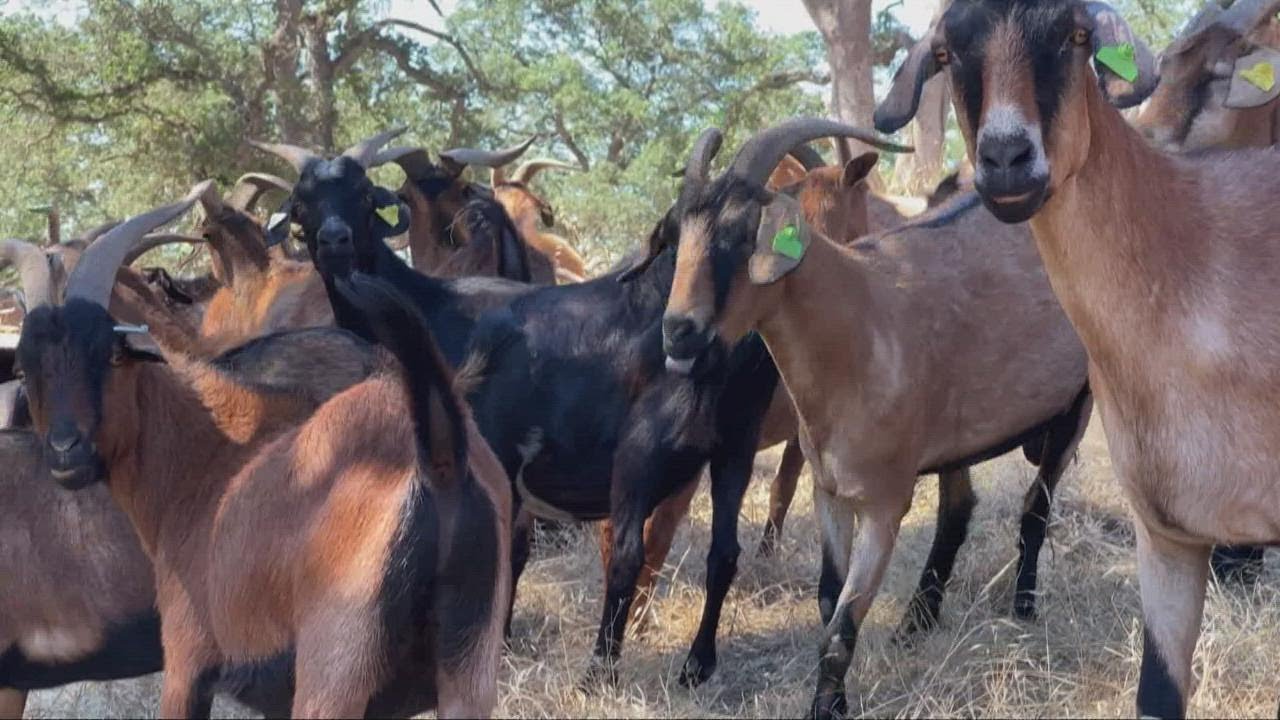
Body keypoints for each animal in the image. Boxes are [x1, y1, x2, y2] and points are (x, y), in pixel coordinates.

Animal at [18, 187, 507, 717]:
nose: (65, 452)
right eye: (26, 366)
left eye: (110, 353)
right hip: (468, 667)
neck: (204, 463)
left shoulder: (187, 658)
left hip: (336, 666)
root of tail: (438, 458)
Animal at [659, 119, 1094, 719]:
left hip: (1078, 408)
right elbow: (827, 600)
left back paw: (1023, 606)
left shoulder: (885, 504)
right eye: (680, 230)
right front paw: (836, 700)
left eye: (742, 232)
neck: (860, 326)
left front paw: (827, 709)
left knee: (1035, 506)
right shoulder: (829, 493)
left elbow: (843, 626)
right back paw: (916, 622)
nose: (678, 332)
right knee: (959, 509)